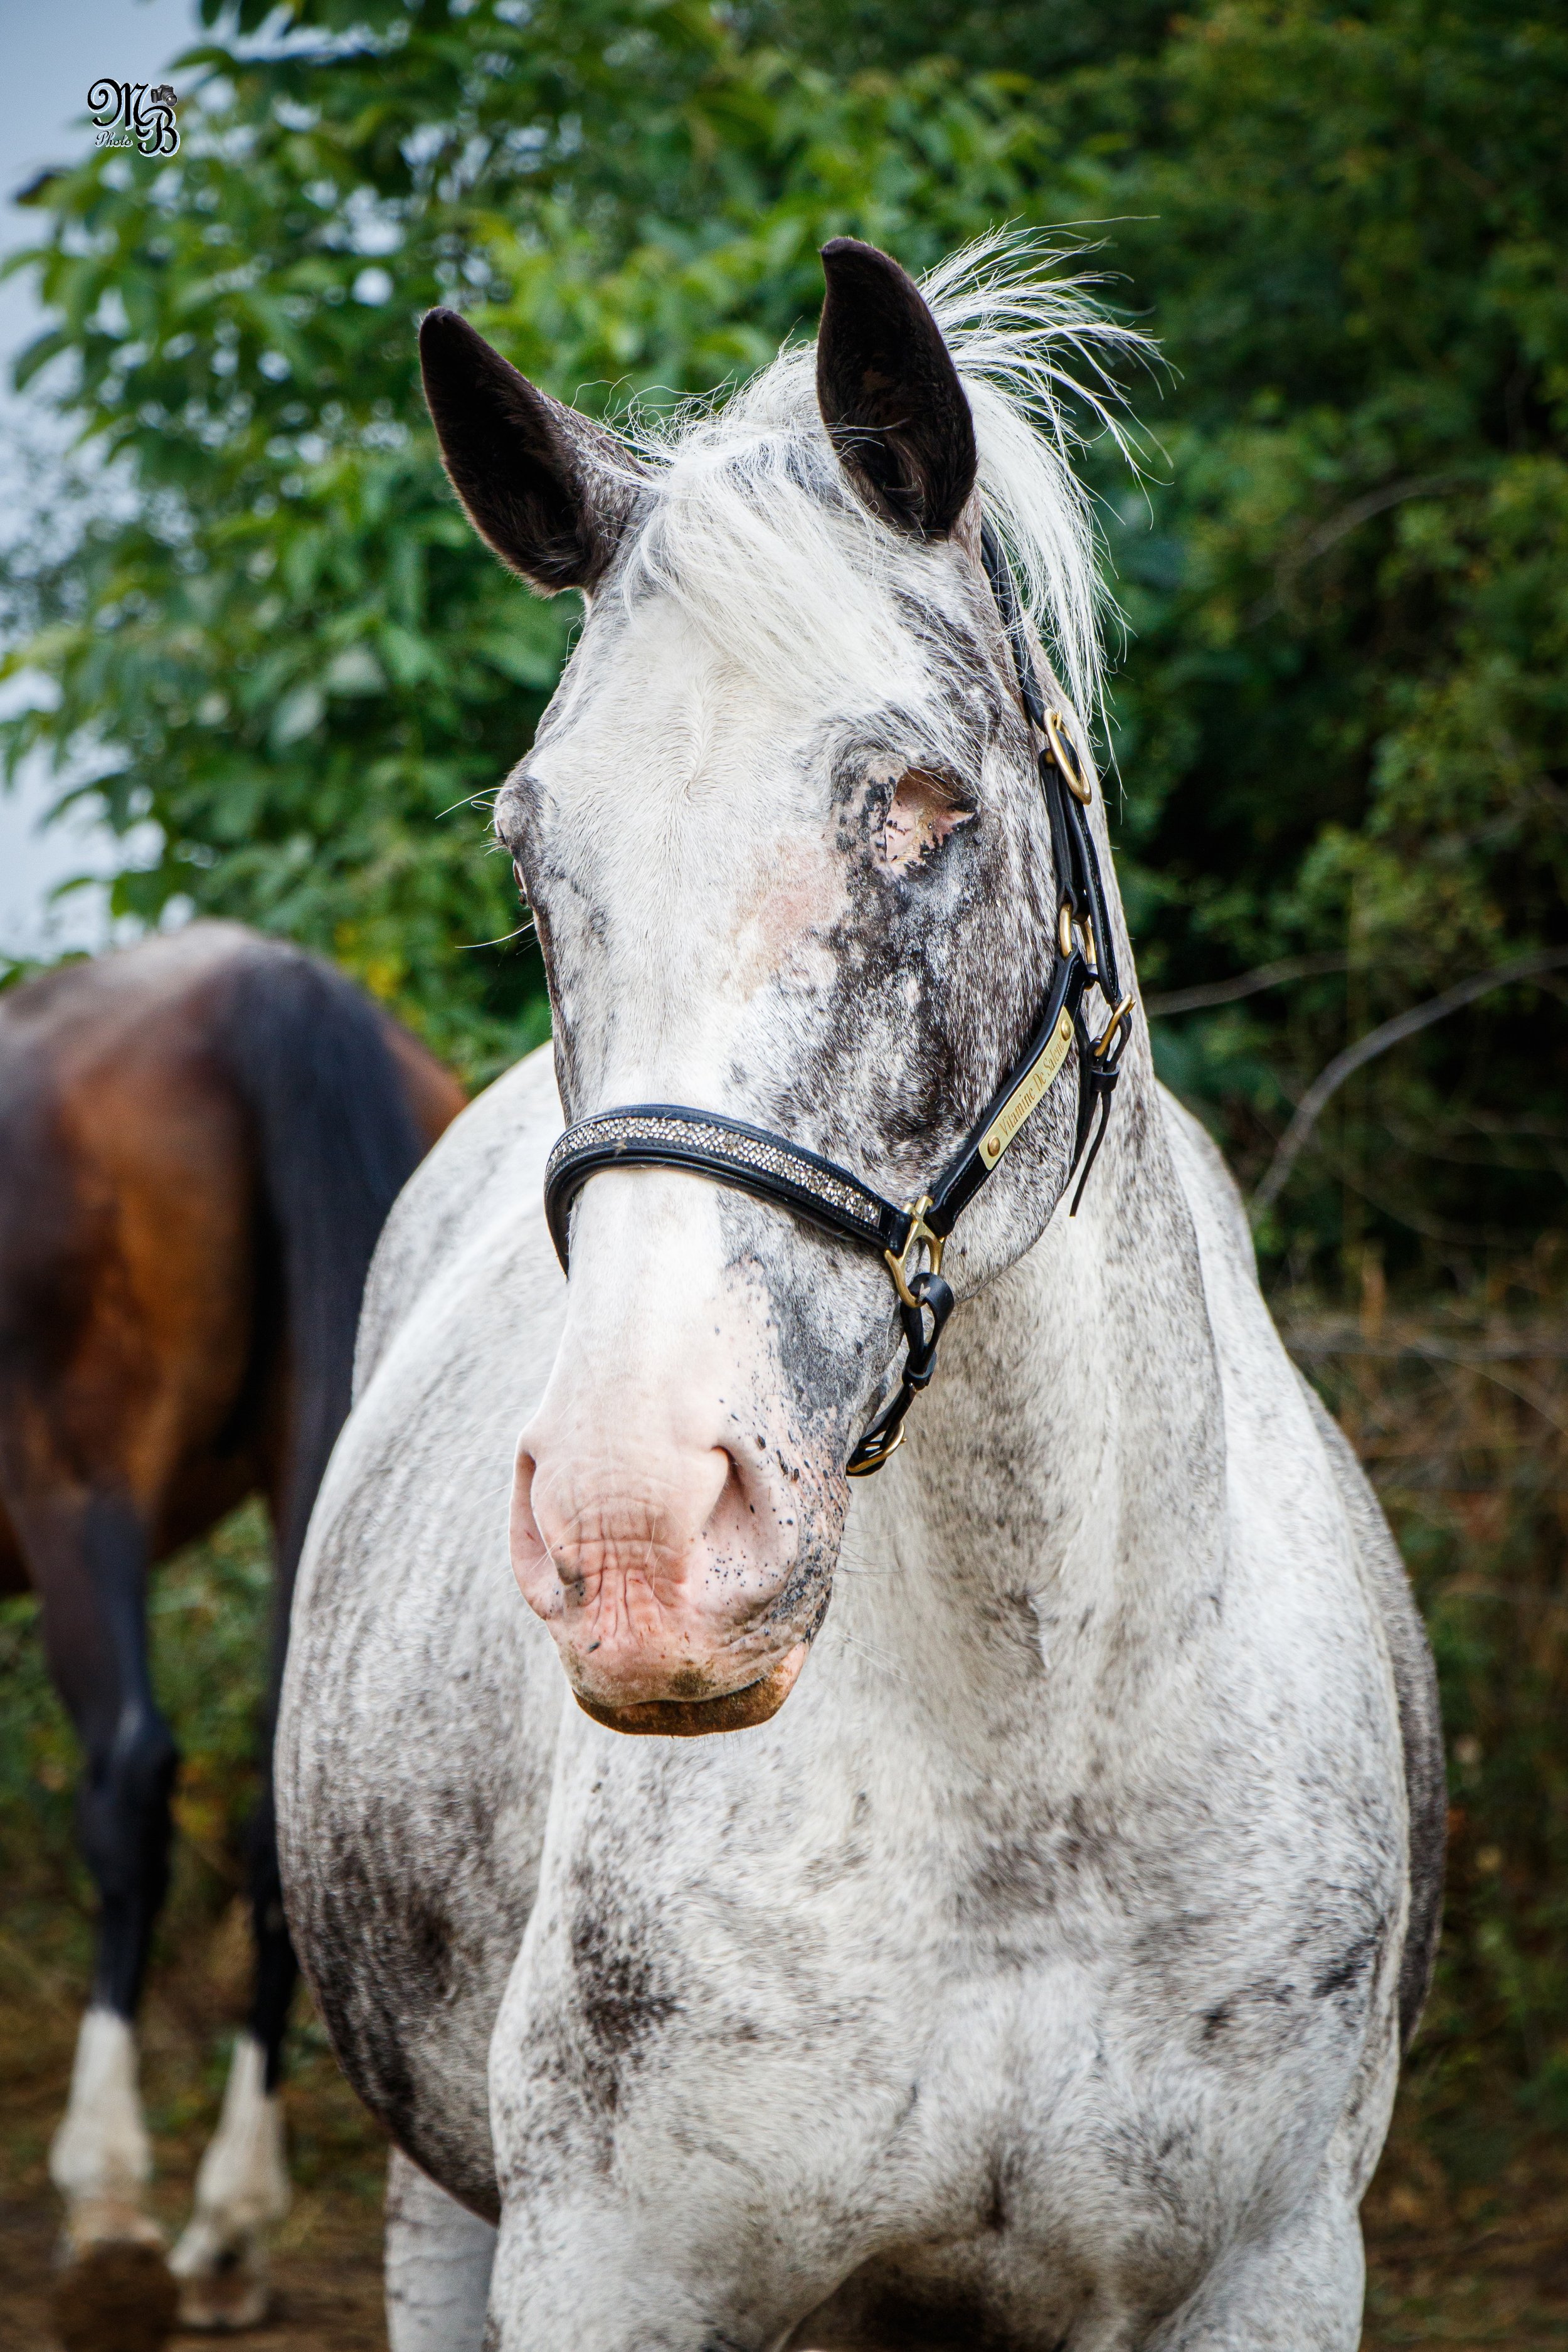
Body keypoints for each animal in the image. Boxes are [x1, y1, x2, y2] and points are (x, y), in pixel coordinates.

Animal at [277, 236, 1446, 2351]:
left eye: (924, 804)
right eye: (530, 854)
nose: (639, 1540)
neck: (1026, 1763)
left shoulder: (1269, 2264)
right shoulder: (607, 2270)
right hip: (432, 2199)